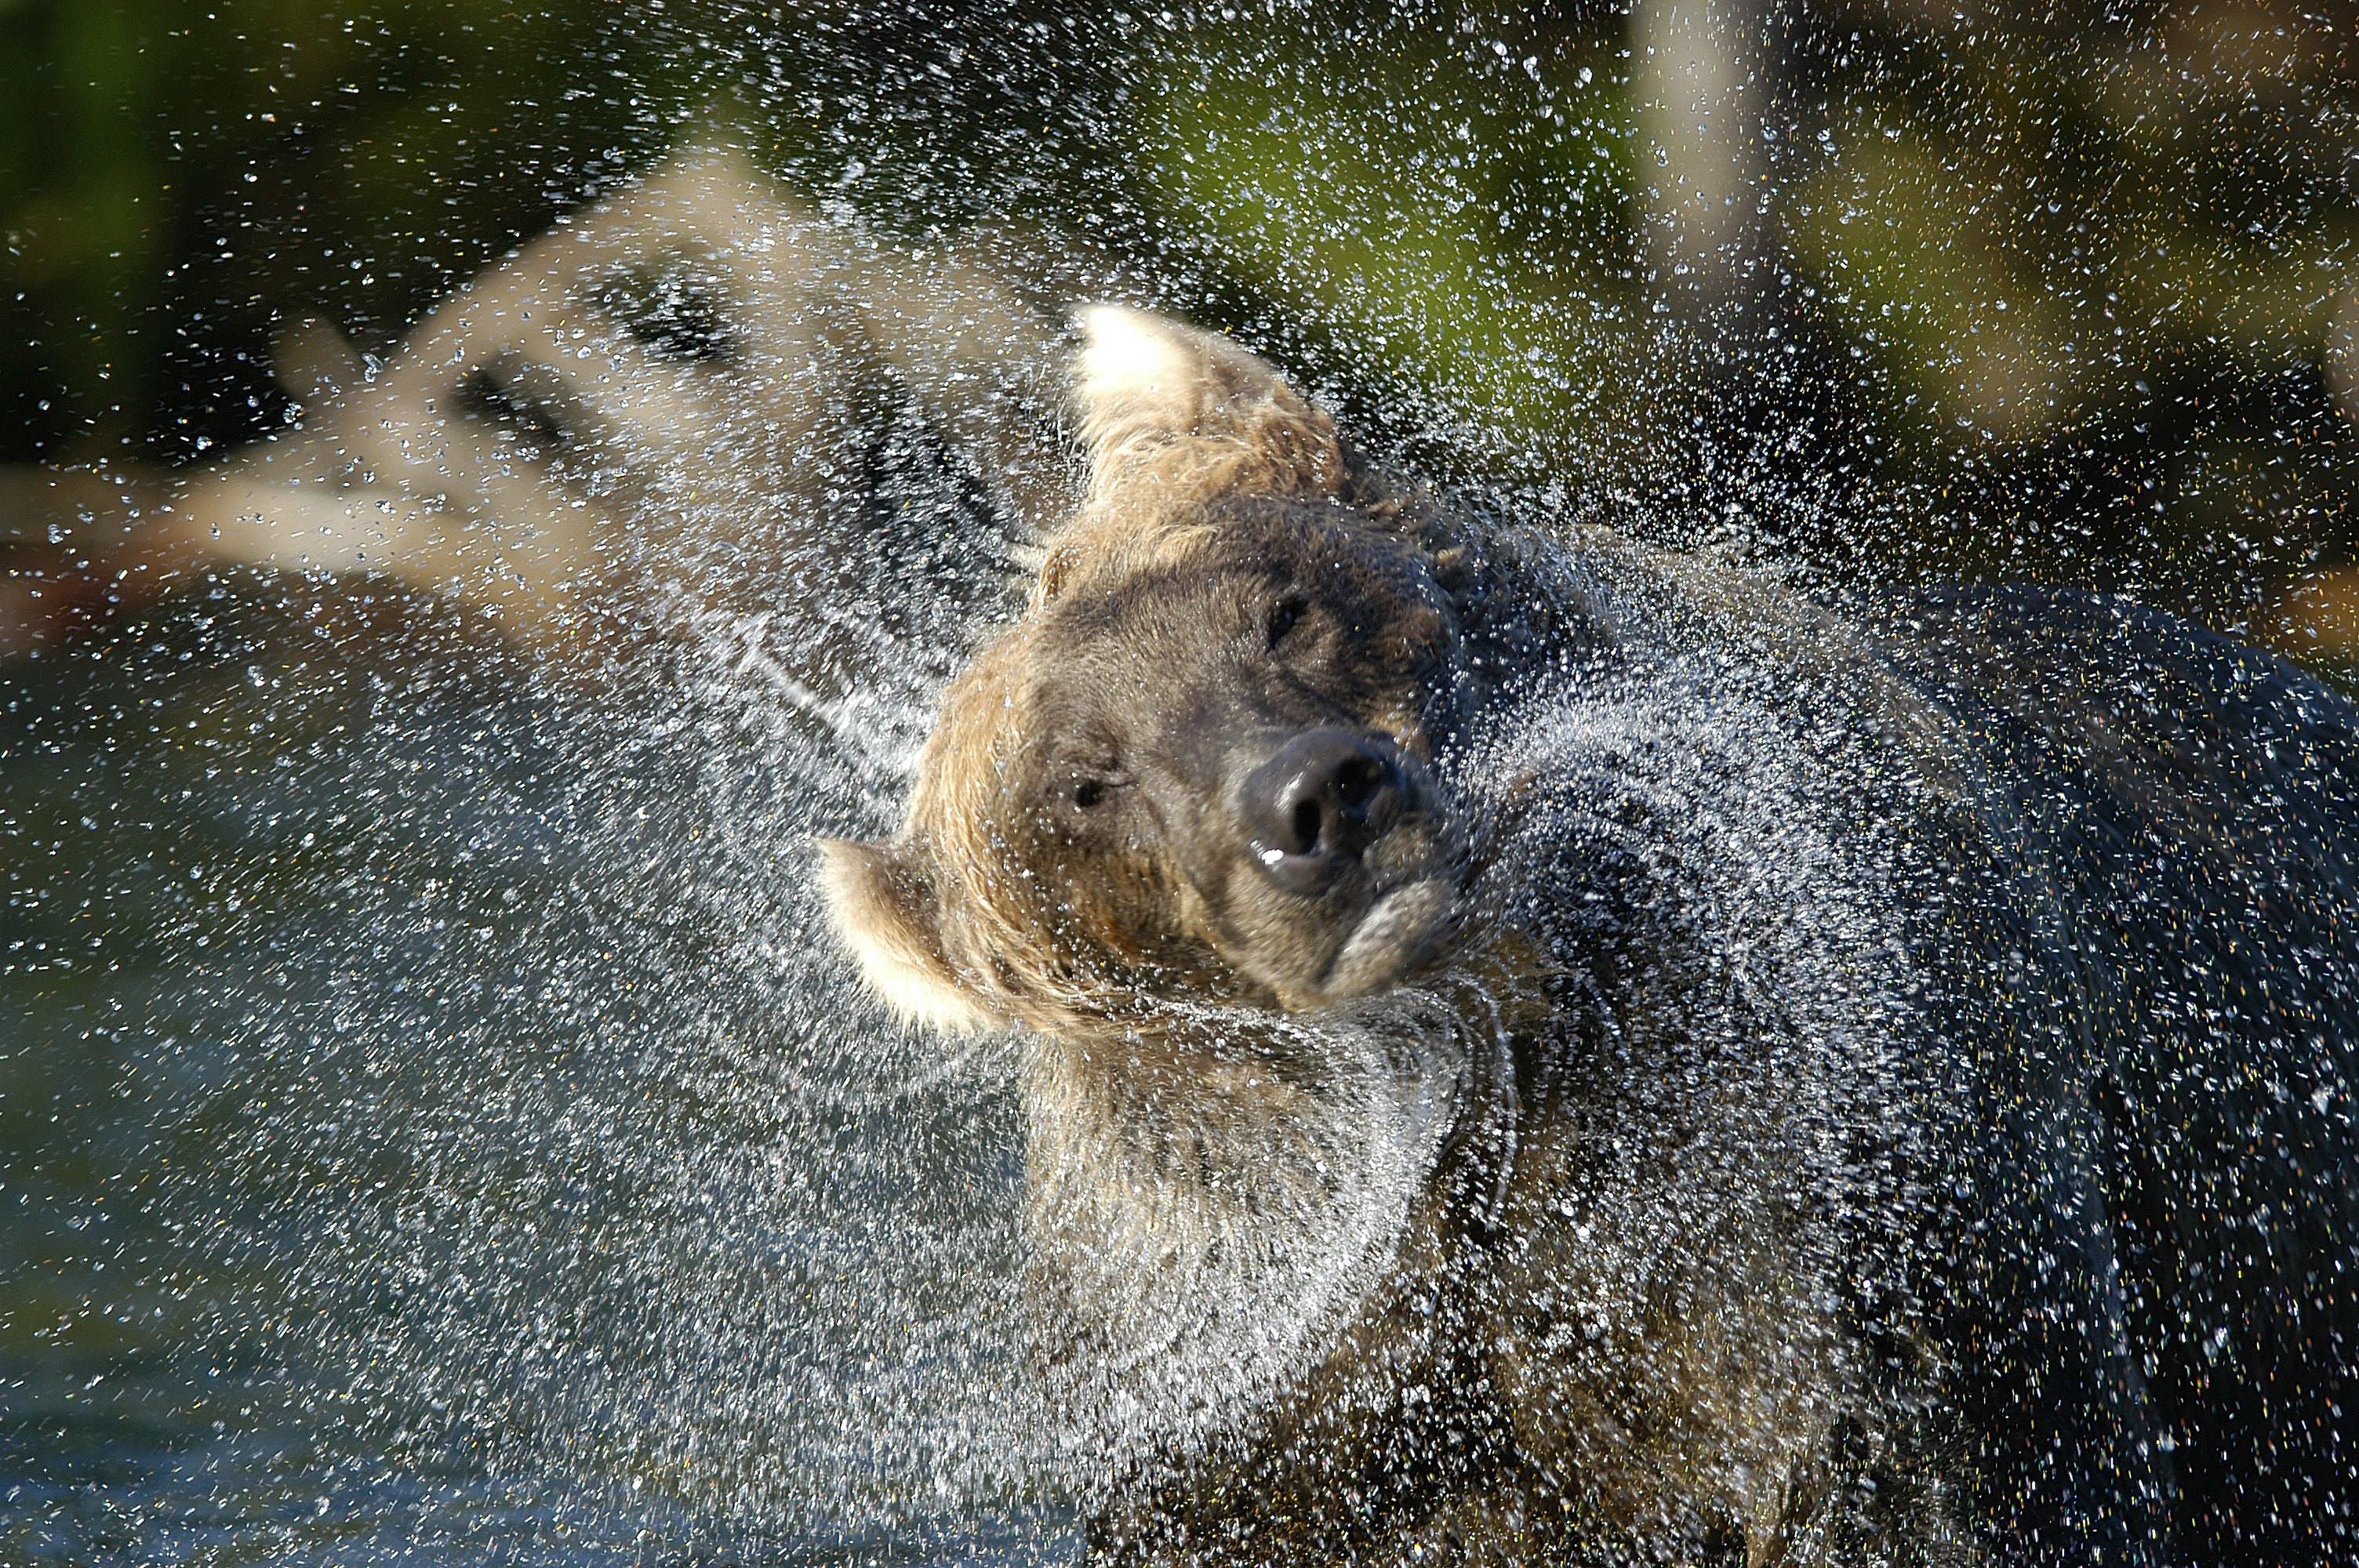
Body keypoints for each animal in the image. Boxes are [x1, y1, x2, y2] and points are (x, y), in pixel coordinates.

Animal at [825, 308, 2359, 1565]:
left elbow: (1930, 1469)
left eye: (1282, 607)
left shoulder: (1827, 1159)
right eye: (1085, 784)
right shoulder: (1258, 1361)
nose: (1316, 802)